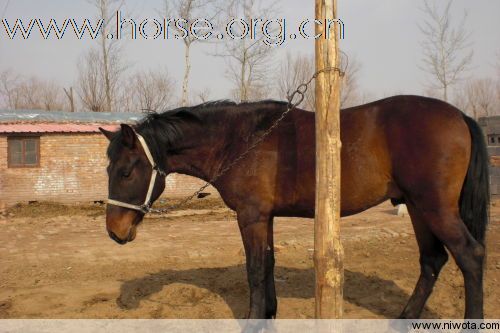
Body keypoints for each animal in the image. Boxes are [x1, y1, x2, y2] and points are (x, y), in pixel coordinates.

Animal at [100, 94, 488, 318]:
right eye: (108, 168)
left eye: (126, 170)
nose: (115, 231)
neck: (239, 139)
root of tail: (460, 116)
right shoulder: (265, 217)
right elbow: (268, 263)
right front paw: (270, 314)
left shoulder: (251, 216)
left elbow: (256, 269)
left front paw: (254, 320)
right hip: (417, 208)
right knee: (432, 260)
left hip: (435, 208)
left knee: (470, 256)